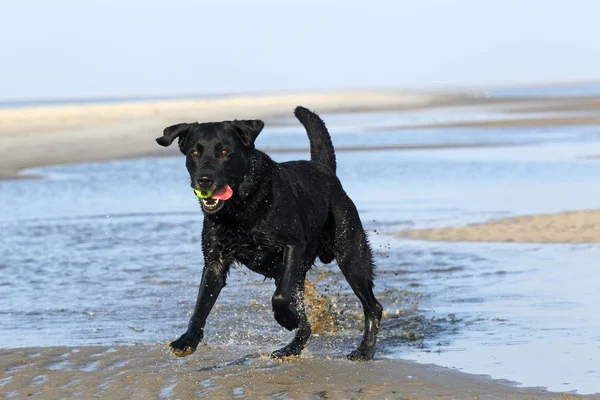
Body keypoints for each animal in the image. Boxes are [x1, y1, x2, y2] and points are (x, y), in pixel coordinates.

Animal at [155, 106, 380, 360]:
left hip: (350, 253)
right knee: (307, 324)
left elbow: (280, 297)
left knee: (373, 306)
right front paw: (188, 339)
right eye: (194, 151)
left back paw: (364, 350)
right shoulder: (215, 261)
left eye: (225, 151)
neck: (240, 210)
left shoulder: (292, 245)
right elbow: (201, 304)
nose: (204, 180)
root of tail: (324, 170)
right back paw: (290, 348)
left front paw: (287, 319)